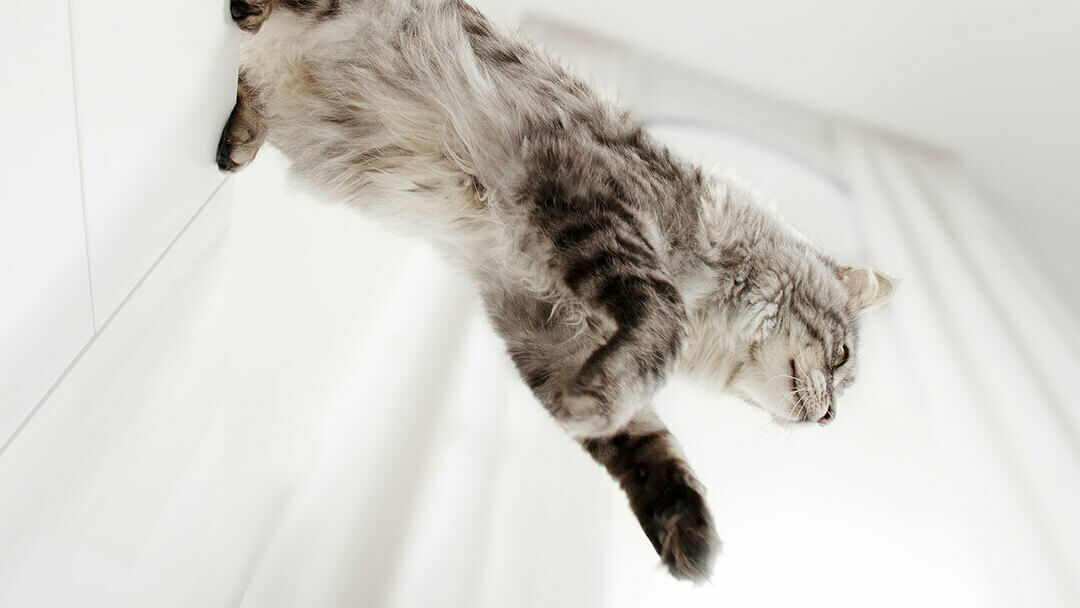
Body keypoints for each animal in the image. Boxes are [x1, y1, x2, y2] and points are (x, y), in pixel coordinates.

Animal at [217, 0, 894, 583]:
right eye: (842, 358)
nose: (830, 418)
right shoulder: (592, 207)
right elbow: (657, 334)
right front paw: (597, 402)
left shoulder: (548, 329)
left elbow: (646, 446)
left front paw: (690, 538)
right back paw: (247, 27)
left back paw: (240, 132)